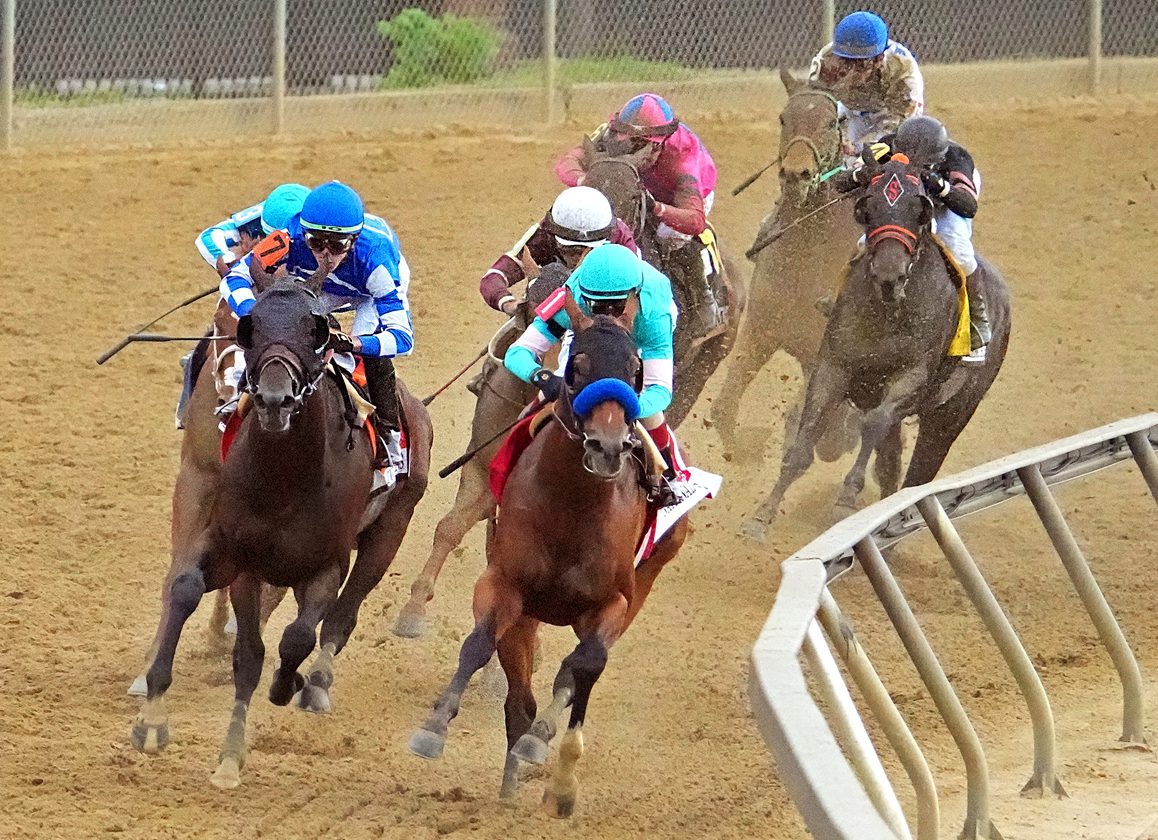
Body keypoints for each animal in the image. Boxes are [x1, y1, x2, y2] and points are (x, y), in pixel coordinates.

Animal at [127, 273, 435, 787]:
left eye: (317, 333)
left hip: (389, 530)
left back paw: (316, 685)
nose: (274, 400)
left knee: (341, 617)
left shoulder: (327, 565)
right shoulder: (234, 550)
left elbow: (297, 637)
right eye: (250, 325)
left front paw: (287, 684)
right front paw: (159, 723)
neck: (285, 479)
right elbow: (199, 602)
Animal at [409, 293, 685, 811]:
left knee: (571, 678)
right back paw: (511, 777)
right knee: (520, 697)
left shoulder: (612, 604)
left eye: (636, 370)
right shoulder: (505, 585)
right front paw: (433, 728)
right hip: (527, 612)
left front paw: (557, 770)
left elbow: (583, 667)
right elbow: (478, 645)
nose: (607, 447)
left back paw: (544, 753)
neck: (572, 505)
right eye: (576, 366)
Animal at [708, 70, 866, 465]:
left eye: (832, 121)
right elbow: (723, 410)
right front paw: (748, 448)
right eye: (783, 118)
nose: (797, 175)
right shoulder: (762, 330)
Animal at [745, 154, 1009, 539]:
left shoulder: (911, 379)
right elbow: (805, 440)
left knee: (919, 474)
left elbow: (873, 423)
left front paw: (845, 500)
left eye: (920, 210)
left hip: (951, 414)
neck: (885, 313)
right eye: (867, 207)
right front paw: (762, 514)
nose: (889, 275)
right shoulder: (833, 366)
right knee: (890, 464)